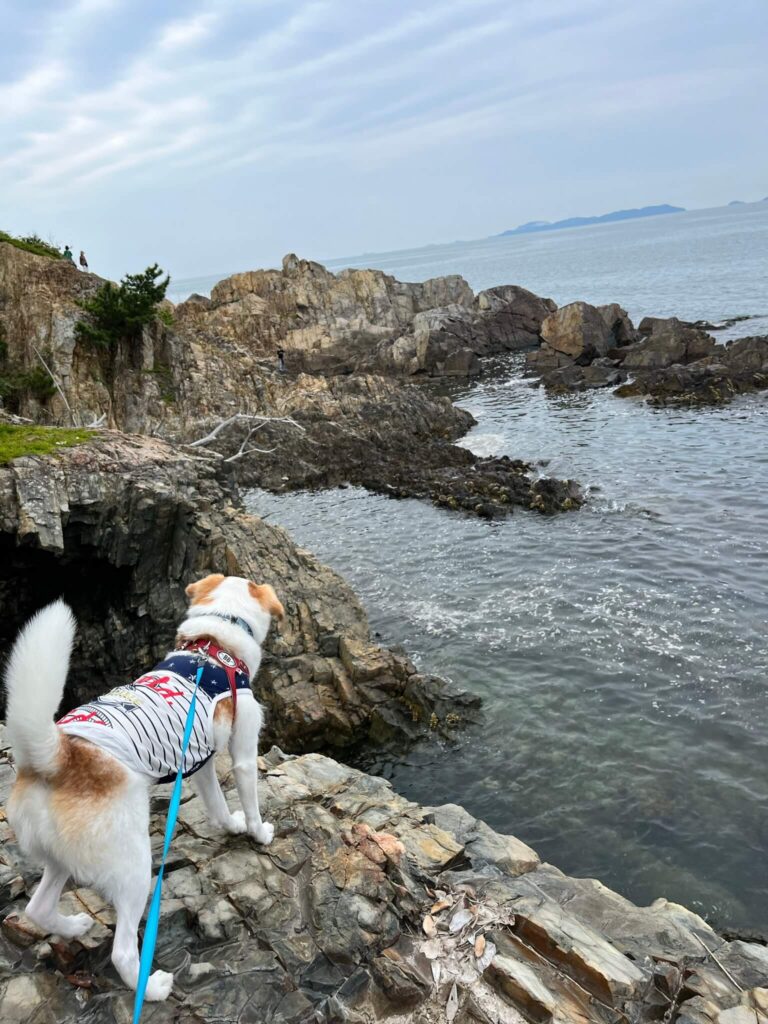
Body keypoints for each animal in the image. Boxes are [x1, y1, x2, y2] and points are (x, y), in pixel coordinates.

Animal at [3, 573, 286, 1003]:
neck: (214, 644)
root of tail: (58, 757)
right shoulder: (242, 750)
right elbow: (249, 801)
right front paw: (258, 832)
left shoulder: (200, 762)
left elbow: (218, 806)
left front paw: (231, 826)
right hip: (134, 867)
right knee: (121, 950)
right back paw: (151, 988)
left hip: (62, 858)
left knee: (37, 909)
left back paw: (73, 927)